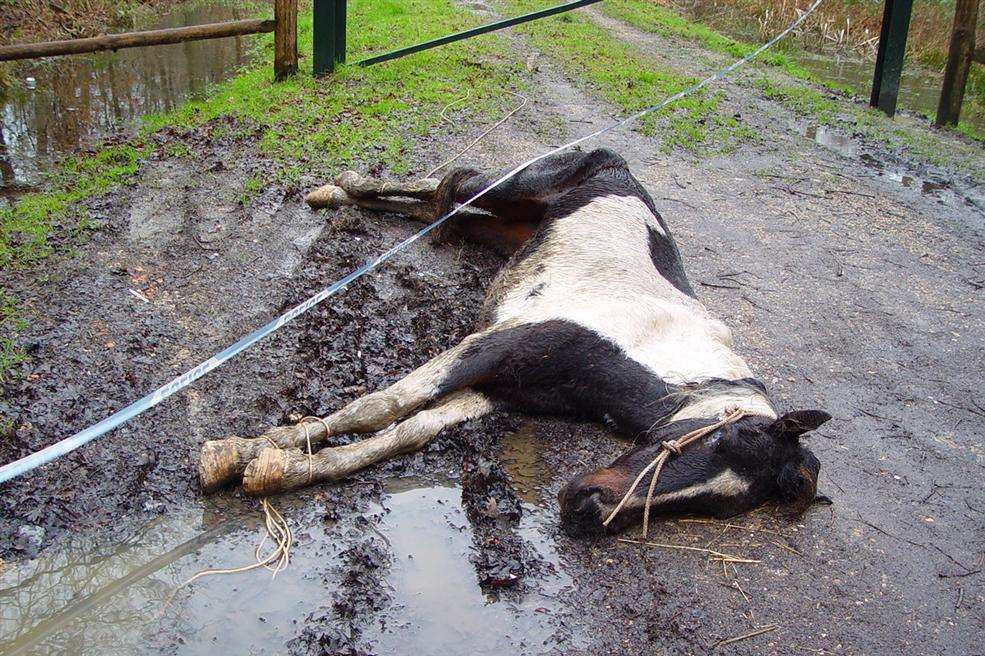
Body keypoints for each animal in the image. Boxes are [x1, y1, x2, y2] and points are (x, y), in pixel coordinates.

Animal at [200, 149, 832, 540]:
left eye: (714, 504)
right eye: (720, 439)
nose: (589, 508)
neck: (651, 345)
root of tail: (618, 164)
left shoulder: (502, 389)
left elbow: (408, 431)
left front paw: (283, 471)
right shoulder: (495, 344)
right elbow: (378, 407)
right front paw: (241, 453)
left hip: (504, 229)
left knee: (442, 212)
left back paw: (338, 198)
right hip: (514, 188)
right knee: (450, 183)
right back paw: (335, 190)